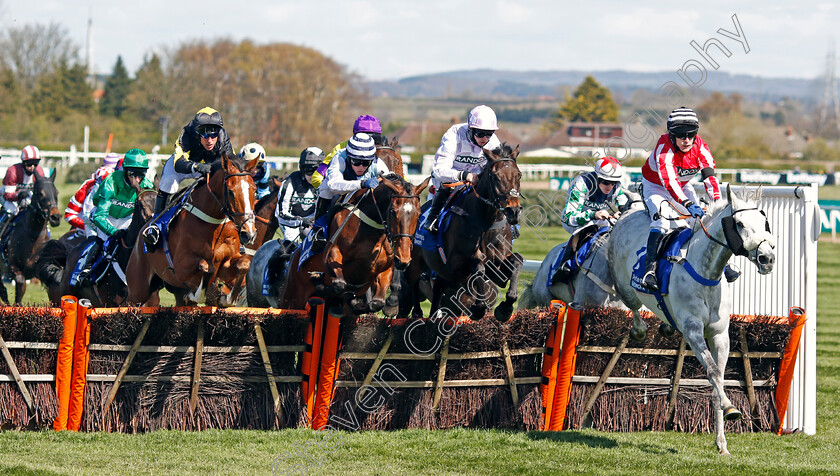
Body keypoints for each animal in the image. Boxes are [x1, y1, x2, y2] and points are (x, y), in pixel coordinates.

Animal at [0, 172, 61, 304]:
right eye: (40, 193)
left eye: (56, 192)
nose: (55, 217)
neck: (33, 236)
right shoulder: (13, 269)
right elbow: (20, 288)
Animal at [125, 154, 260, 306]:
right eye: (230, 192)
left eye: (254, 190)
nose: (249, 233)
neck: (214, 226)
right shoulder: (181, 267)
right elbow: (206, 266)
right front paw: (201, 294)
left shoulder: (227, 262)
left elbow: (244, 264)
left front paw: (226, 298)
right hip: (138, 290)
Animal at [280, 173, 430, 314]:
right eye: (393, 212)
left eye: (419, 214)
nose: (403, 260)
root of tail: (292, 256)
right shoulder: (332, 253)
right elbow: (339, 284)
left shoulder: (385, 269)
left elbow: (376, 303)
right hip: (292, 298)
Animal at [398, 141, 520, 320]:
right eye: (495, 176)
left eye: (519, 175)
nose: (514, 211)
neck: (486, 223)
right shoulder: (456, 264)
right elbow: (479, 267)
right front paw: (479, 308)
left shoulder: (497, 267)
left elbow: (517, 261)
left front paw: (505, 307)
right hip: (413, 265)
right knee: (410, 285)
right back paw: (417, 312)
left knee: (437, 290)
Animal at [608, 184, 776, 456]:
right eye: (739, 224)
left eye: (765, 222)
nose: (767, 259)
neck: (707, 273)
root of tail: (629, 212)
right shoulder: (693, 330)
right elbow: (714, 372)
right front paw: (730, 407)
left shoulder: (720, 334)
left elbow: (718, 377)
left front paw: (722, 443)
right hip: (623, 284)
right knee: (634, 307)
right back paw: (641, 325)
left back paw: (666, 325)